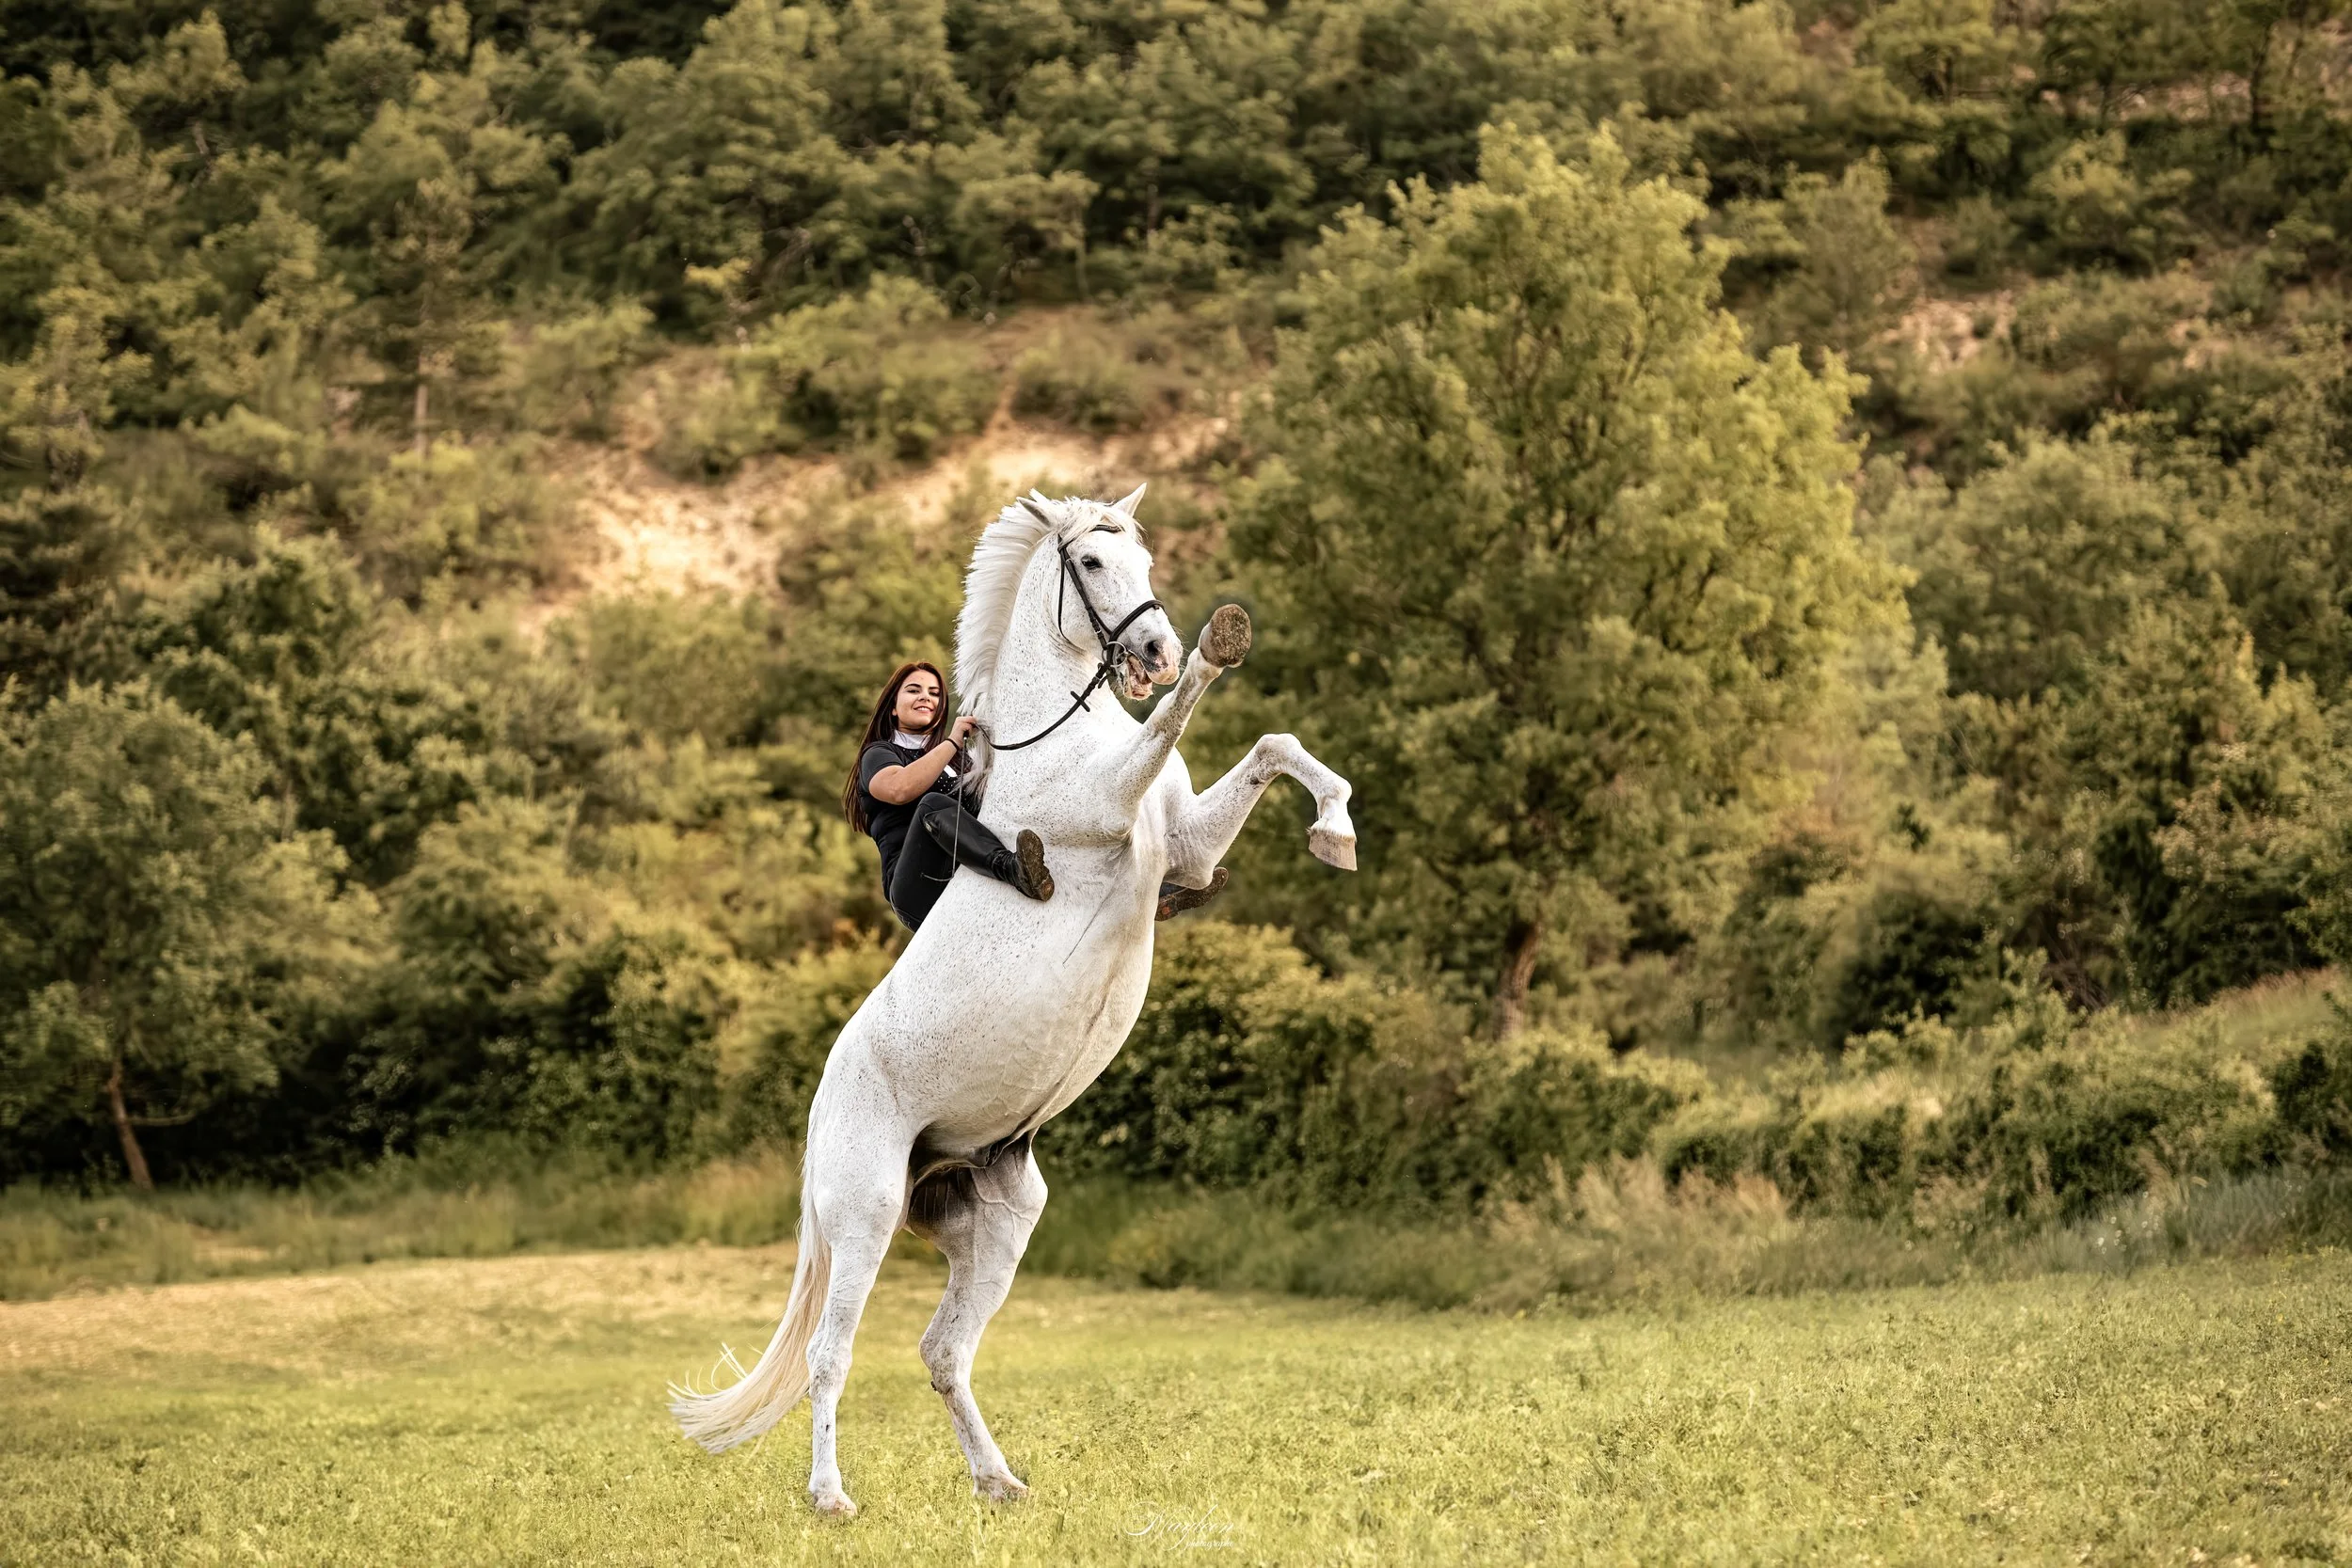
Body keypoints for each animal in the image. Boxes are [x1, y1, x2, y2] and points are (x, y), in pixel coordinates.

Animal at [667, 484, 1356, 1516]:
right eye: (1095, 563)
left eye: (1145, 556)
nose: (1152, 651)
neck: (1064, 734)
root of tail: (822, 1110)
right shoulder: (1114, 800)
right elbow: (1178, 726)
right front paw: (1214, 648)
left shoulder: (1191, 842)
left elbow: (1273, 750)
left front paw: (1335, 831)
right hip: (865, 1212)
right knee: (831, 1354)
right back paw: (832, 1496)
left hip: (996, 1217)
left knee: (942, 1350)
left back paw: (999, 1480)